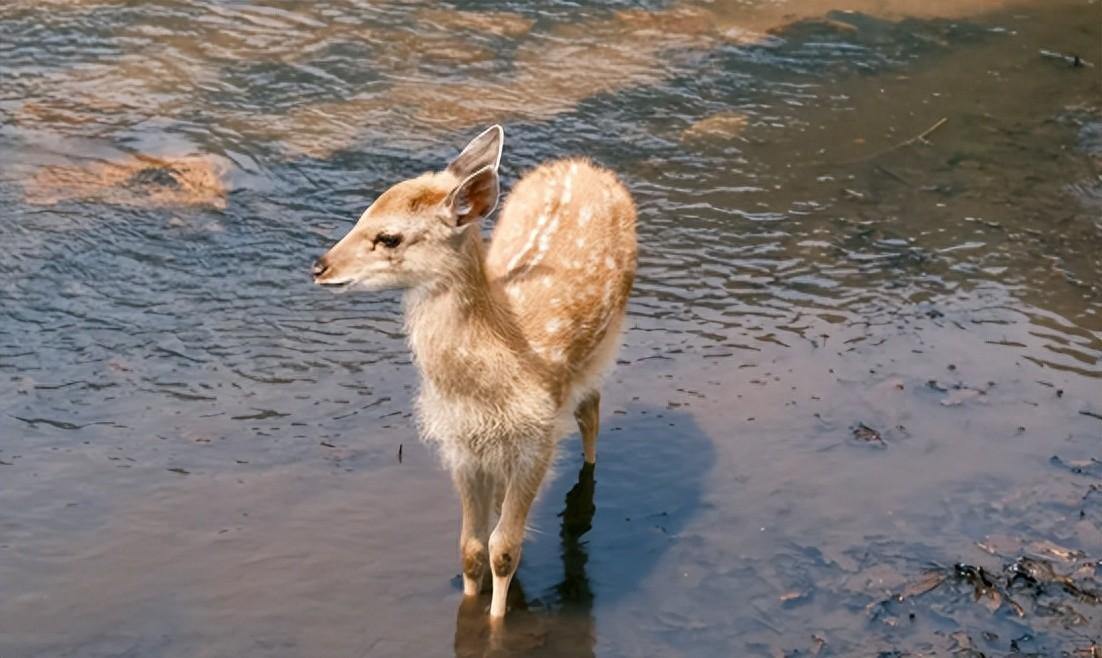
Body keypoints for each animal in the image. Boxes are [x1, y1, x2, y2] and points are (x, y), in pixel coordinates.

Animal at [310, 125, 639, 617]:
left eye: (389, 237)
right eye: (363, 212)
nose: (320, 266)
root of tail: (584, 166)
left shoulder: (537, 440)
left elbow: (504, 549)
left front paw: (497, 621)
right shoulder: (461, 444)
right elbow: (470, 548)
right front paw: (469, 602)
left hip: (603, 350)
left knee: (592, 412)